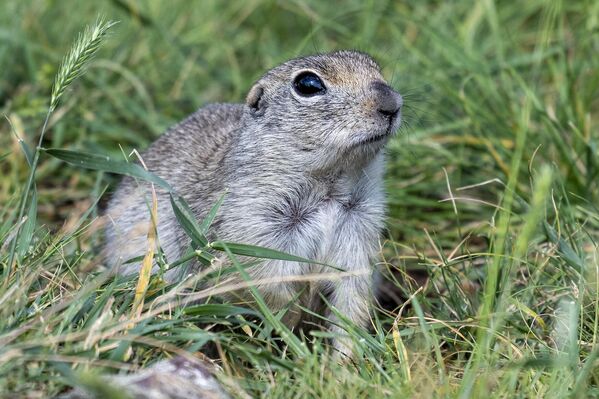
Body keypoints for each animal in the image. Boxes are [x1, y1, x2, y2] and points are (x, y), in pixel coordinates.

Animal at [104, 50, 404, 356]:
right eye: (308, 85)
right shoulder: (251, 227)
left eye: (374, 65)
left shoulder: (359, 228)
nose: (391, 103)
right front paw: (292, 333)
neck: (330, 188)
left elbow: (351, 301)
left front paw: (344, 360)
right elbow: (263, 289)